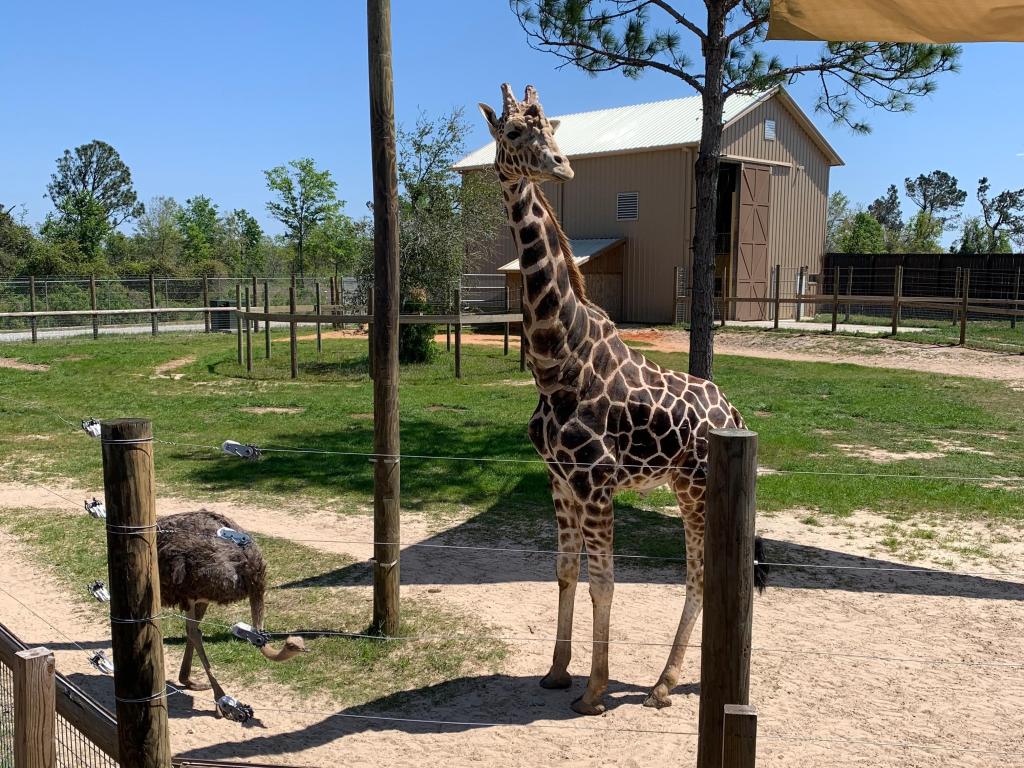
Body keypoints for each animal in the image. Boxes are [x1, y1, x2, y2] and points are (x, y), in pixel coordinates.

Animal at [479, 83, 761, 716]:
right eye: (514, 131)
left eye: (550, 128)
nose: (561, 165)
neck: (558, 362)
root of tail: (733, 411)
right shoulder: (558, 480)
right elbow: (564, 572)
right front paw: (557, 672)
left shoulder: (596, 482)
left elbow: (604, 583)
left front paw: (594, 689)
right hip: (688, 488)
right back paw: (682, 678)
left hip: (694, 488)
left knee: (699, 574)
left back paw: (663, 683)